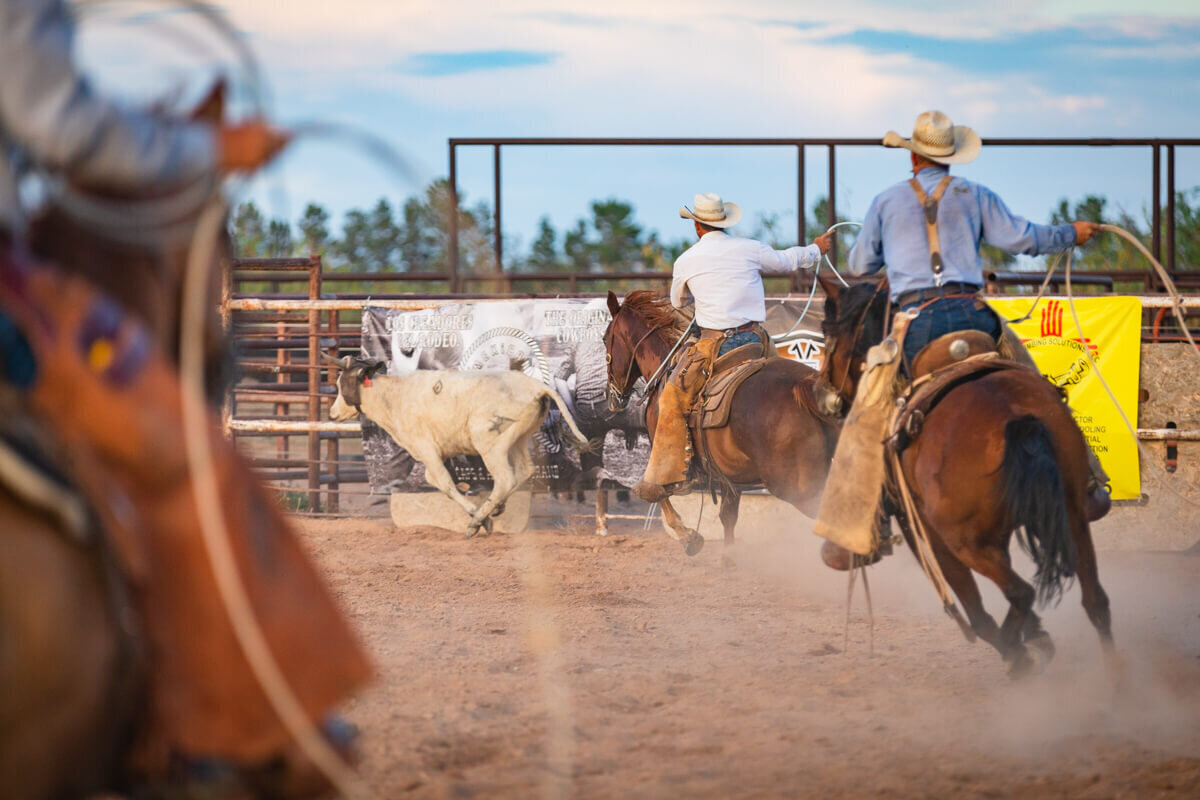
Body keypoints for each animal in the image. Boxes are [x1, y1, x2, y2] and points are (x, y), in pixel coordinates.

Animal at [328, 357, 590, 537]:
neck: (393, 397)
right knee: (525, 471)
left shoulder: (427, 449)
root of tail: (536, 388)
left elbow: (445, 484)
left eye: (343, 384)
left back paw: (478, 520)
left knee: (506, 478)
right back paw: (495, 507)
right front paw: (481, 512)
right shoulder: (435, 453)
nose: (331, 413)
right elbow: (435, 480)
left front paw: (478, 519)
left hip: (490, 443)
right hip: (518, 438)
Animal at [604, 289, 840, 556]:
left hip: (798, 486)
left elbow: (657, 492)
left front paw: (689, 538)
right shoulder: (728, 474)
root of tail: (805, 387)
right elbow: (728, 517)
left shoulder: (662, 453)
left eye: (604, 339)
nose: (613, 398)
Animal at [816, 278, 1113, 681]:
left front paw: (1026, 645)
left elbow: (974, 611)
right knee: (1094, 601)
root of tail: (1017, 418)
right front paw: (1036, 636)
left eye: (827, 332)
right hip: (1071, 520)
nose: (821, 393)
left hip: (966, 541)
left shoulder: (926, 532)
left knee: (1021, 593)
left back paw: (1016, 654)